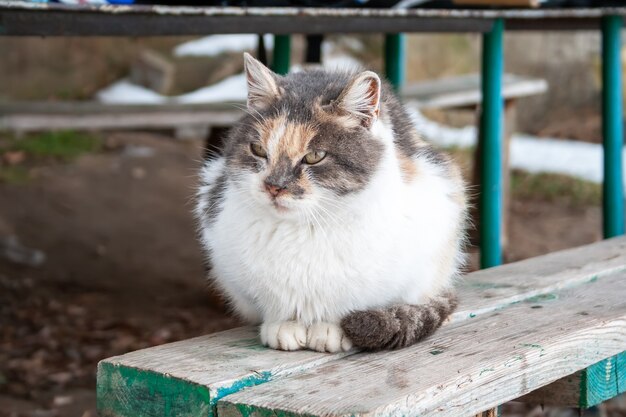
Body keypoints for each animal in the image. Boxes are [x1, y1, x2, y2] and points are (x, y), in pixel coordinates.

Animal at [194, 52, 464, 352]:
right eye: (258, 150)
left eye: (314, 156)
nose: (274, 186)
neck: (304, 229)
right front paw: (283, 325)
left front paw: (330, 330)